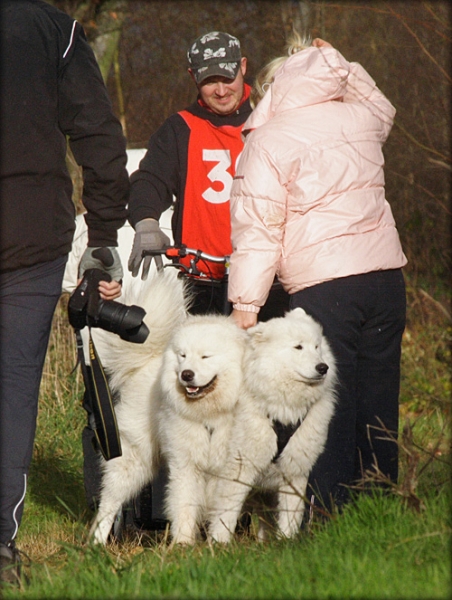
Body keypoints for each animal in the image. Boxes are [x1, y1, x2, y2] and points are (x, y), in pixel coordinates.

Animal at [156, 314, 247, 544]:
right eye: (182, 355)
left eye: (206, 356)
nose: (187, 374)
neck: (208, 416)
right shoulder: (184, 465)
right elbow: (183, 504)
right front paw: (182, 542)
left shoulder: (228, 469)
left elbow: (223, 510)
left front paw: (219, 542)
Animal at [207, 310, 336, 544]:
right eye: (298, 347)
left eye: (317, 347)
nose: (323, 368)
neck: (283, 409)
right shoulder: (239, 468)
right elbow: (226, 513)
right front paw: (219, 544)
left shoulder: (295, 470)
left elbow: (291, 514)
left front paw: (286, 542)